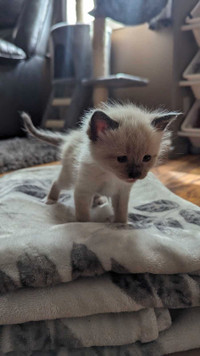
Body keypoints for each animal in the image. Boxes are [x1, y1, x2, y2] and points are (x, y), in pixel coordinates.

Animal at [21, 101, 179, 222]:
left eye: (146, 158)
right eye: (121, 159)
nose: (135, 175)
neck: (109, 174)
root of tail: (71, 136)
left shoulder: (122, 193)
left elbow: (121, 212)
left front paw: (121, 227)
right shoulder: (82, 190)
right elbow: (83, 215)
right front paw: (84, 226)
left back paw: (99, 200)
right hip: (69, 177)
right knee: (56, 182)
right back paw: (50, 200)